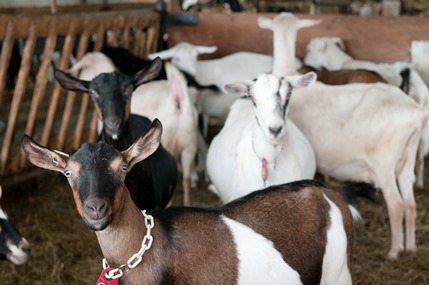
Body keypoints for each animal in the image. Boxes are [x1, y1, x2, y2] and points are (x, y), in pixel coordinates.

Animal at [21, 118, 374, 284]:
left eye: (122, 169)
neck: (153, 249)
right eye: (68, 173)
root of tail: (334, 195)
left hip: (338, 273)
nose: (96, 208)